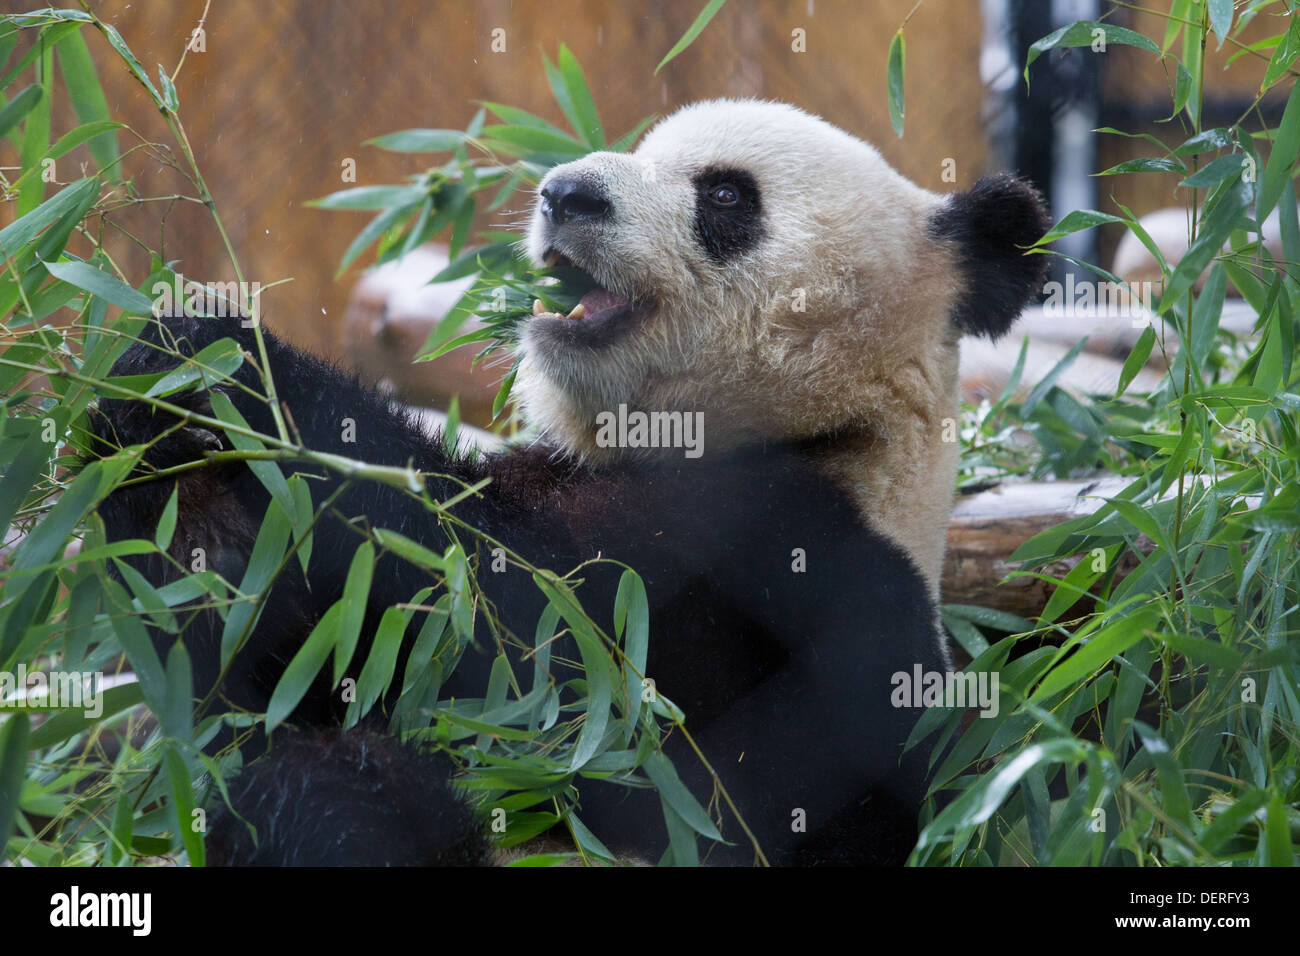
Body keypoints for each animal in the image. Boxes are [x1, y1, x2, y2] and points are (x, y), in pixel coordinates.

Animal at [91, 98, 1045, 868]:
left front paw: (222, 361)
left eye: (726, 196)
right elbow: (269, 655)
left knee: (340, 800)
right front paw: (155, 436)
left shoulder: (795, 572)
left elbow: (512, 630)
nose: (565, 193)